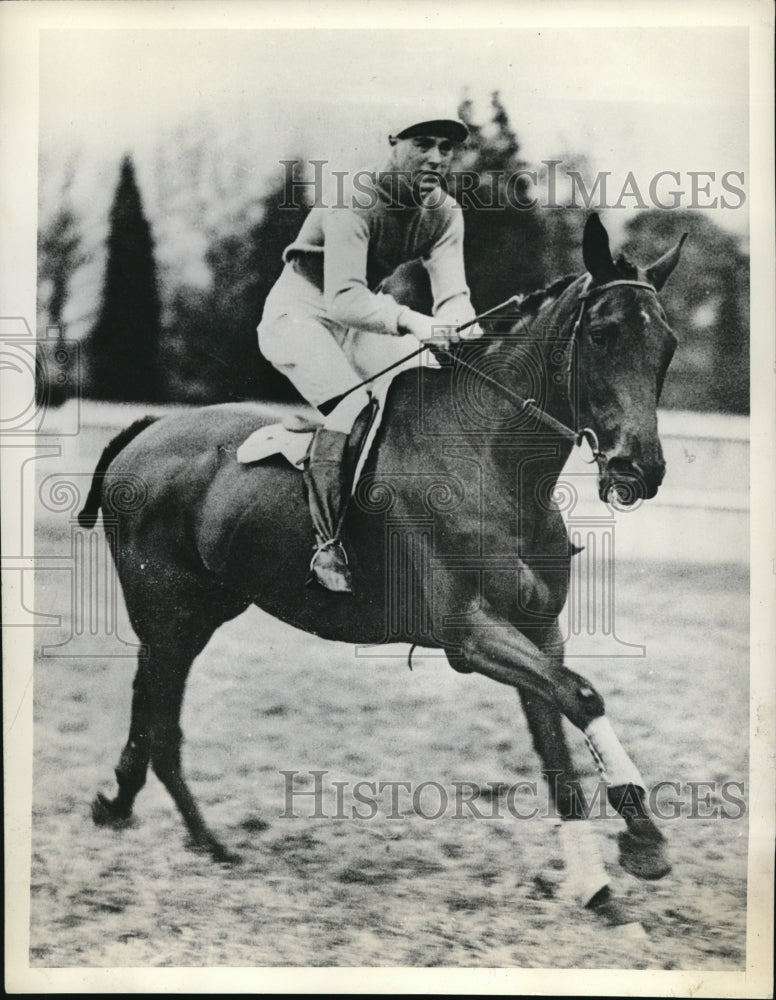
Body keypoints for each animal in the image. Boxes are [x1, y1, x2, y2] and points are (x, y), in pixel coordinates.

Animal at [80, 215, 684, 912]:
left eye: (667, 345)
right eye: (603, 334)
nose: (640, 468)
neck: (492, 461)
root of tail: (147, 430)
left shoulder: (539, 631)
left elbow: (558, 740)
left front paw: (596, 880)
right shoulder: (469, 635)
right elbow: (583, 697)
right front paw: (643, 840)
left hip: (199, 610)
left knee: (150, 706)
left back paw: (135, 811)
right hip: (167, 613)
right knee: (160, 718)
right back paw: (195, 835)